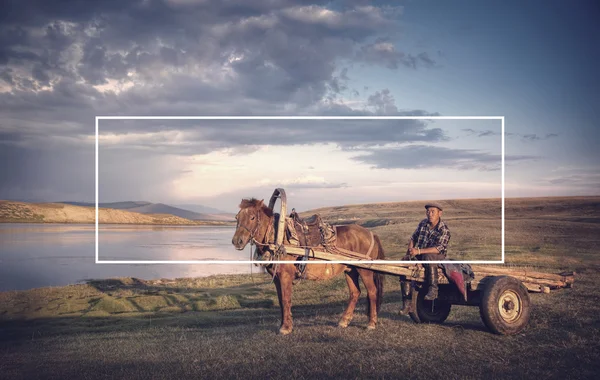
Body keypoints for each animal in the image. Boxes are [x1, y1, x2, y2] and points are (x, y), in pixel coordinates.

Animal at [230, 197, 384, 334]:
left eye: (252, 217)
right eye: (237, 217)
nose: (237, 241)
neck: (278, 239)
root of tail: (371, 233)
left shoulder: (285, 276)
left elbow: (286, 299)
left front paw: (286, 328)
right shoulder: (277, 278)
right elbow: (280, 300)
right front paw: (284, 324)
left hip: (364, 271)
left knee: (372, 292)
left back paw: (371, 323)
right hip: (350, 270)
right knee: (355, 293)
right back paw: (344, 321)